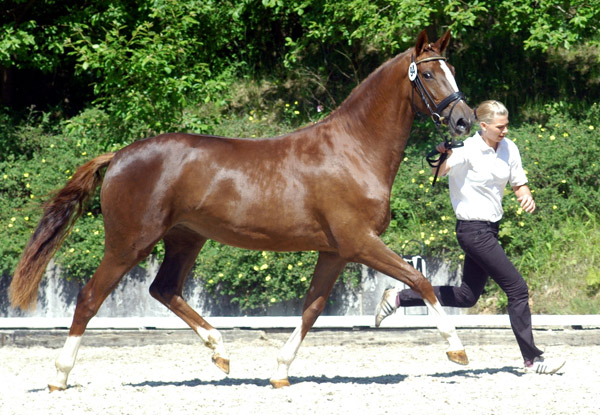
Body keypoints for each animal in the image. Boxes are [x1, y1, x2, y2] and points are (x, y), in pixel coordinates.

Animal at [8, 30, 474, 392]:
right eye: (428, 74)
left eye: (452, 70)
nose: (464, 121)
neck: (352, 150)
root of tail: (120, 155)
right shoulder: (360, 242)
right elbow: (420, 279)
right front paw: (457, 349)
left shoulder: (335, 251)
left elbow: (312, 308)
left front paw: (280, 372)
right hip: (129, 244)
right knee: (90, 298)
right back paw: (59, 376)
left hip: (186, 238)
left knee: (165, 289)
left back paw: (221, 352)